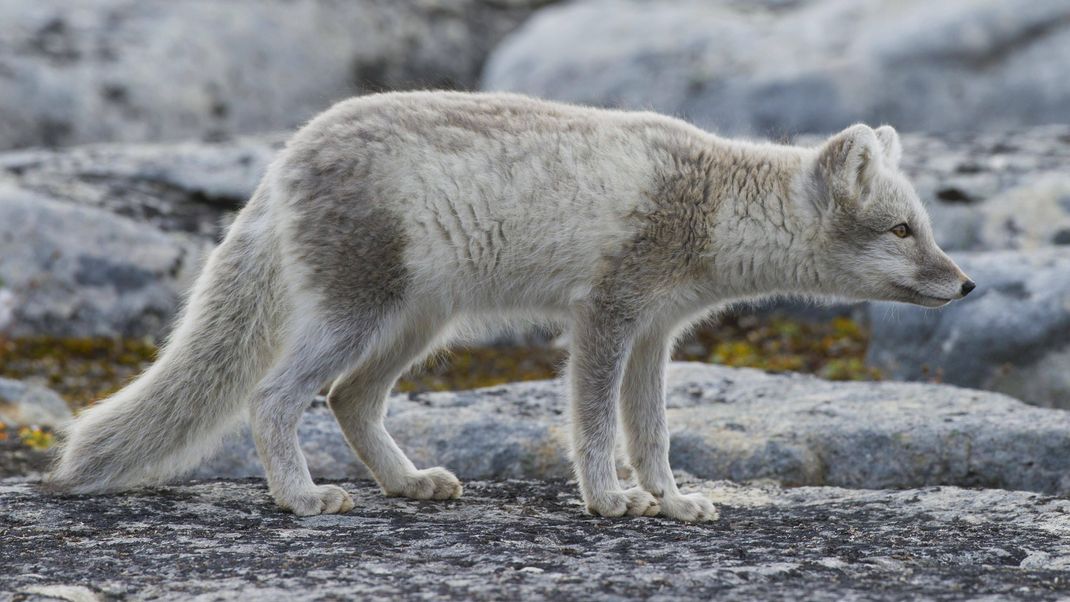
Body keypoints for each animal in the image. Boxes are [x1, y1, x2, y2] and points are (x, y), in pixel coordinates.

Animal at [50, 91, 975, 519]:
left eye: (926, 228)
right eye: (902, 230)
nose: (968, 285)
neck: (711, 202)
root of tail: (284, 157)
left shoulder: (656, 335)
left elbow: (652, 433)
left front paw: (672, 500)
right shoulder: (605, 316)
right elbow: (596, 427)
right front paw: (608, 499)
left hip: (417, 326)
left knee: (349, 400)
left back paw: (408, 483)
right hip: (359, 316)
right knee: (274, 397)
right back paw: (303, 498)